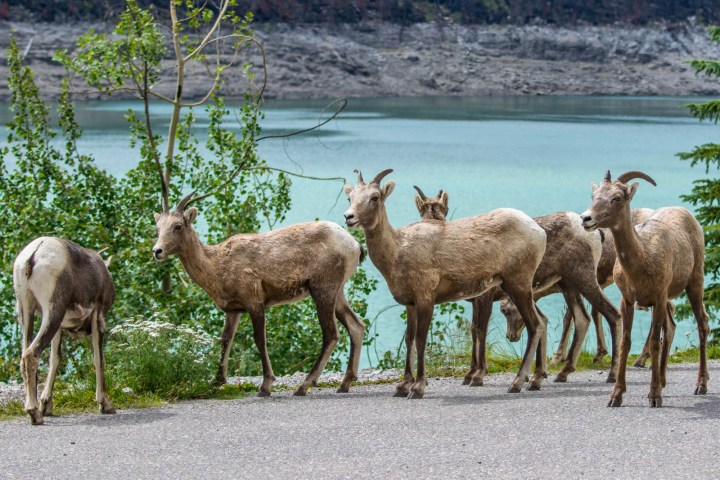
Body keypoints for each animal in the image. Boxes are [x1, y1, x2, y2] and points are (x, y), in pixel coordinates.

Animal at [13, 237, 116, 425]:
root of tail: (32, 257)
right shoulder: (99, 317)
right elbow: (99, 358)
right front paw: (106, 404)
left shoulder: (60, 327)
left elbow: (55, 359)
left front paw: (46, 406)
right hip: (53, 311)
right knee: (32, 354)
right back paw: (34, 414)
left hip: (26, 310)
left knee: (25, 355)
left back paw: (35, 410)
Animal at [152, 192, 366, 397]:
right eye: (157, 227)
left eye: (178, 226)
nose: (157, 251)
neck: (216, 269)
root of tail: (356, 246)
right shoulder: (233, 309)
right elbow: (225, 340)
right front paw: (216, 382)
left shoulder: (254, 299)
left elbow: (259, 339)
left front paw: (265, 386)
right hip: (338, 291)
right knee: (356, 325)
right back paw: (344, 384)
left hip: (323, 287)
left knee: (331, 333)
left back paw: (304, 386)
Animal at [344, 169, 547, 398]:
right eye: (350, 197)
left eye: (375, 197)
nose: (349, 217)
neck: (397, 252)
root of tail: (539, 232)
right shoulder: (410, 303)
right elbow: (409, 340)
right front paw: (402, 387)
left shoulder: (426, 298)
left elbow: (421, 339)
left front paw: (418, 388)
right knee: (541, 322)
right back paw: (533, 382)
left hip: (518, 283)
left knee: (535, 325)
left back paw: (516, 383)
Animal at [412, 186, 621, 385]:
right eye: (423, 212)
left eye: (442, 212)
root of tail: (595, 233)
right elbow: (473, 330)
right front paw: (470, 374)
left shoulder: (485, 296)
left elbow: (480, 330)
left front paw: (477, 375)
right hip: (568, 285)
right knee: (582, 318)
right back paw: (562, 373)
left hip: (584, 279)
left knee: (611, 314)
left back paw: (611, 374)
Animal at [580, 170, 709, 407]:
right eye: (594, 195)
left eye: (617, 198)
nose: (586, 219)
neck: (644, 258)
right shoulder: (628, 301)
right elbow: (626, 342)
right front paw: (616, 396)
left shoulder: (657, 298)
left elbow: (654, 342)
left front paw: (654, 397)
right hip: (668, 300)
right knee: (671, 328)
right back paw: (664, 380)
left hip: (695, 283)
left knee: (702, 324)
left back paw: (700, 386)